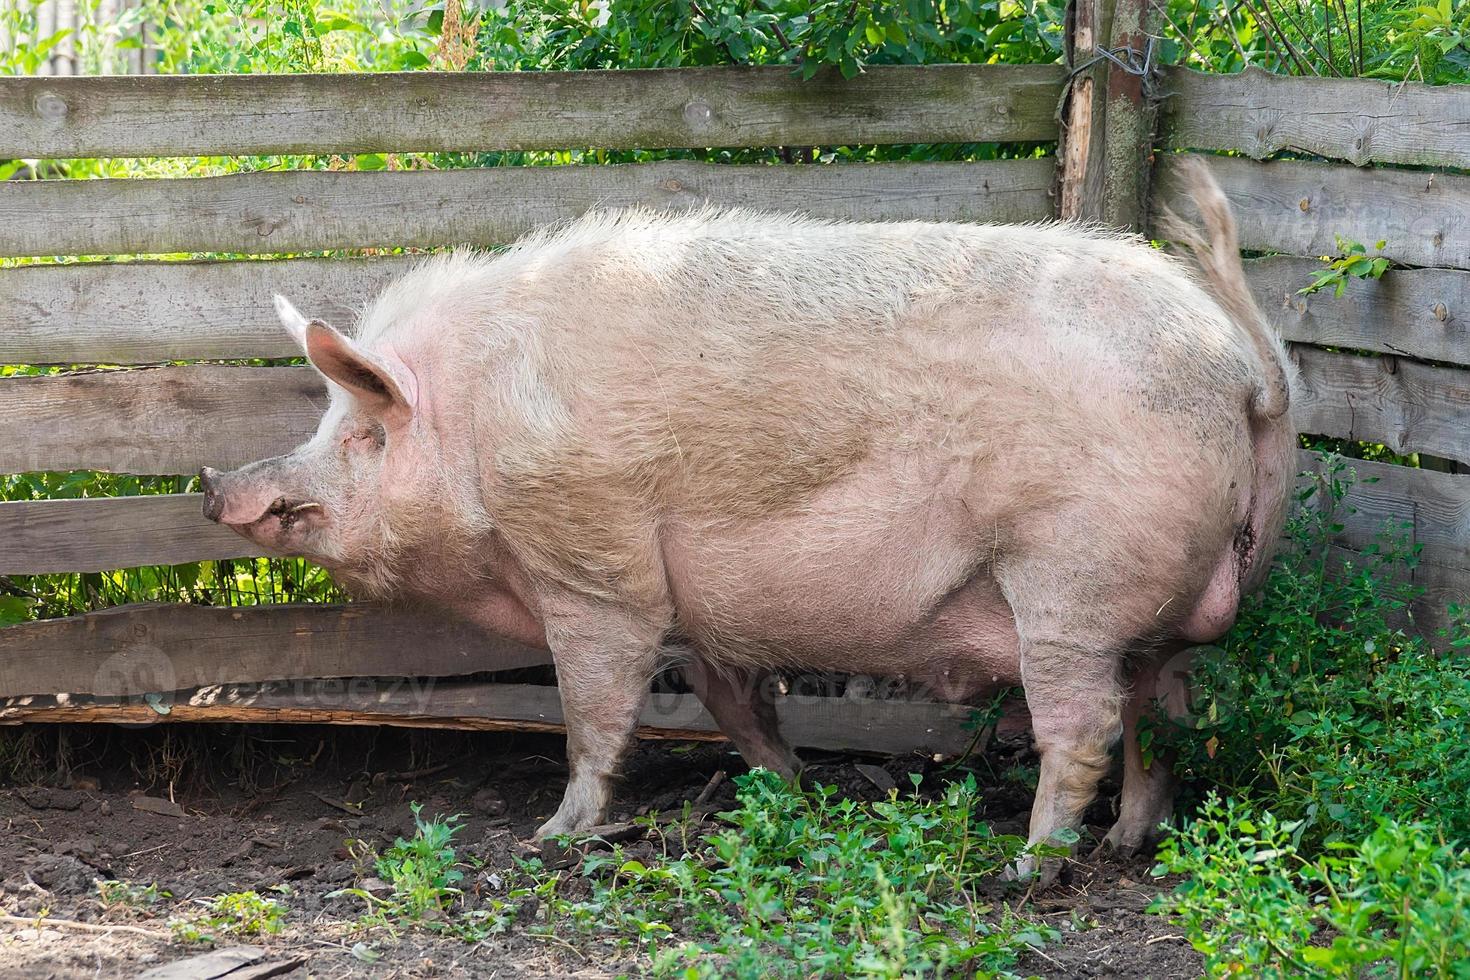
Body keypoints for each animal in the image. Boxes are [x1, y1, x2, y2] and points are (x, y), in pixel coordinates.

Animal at [198, 160, 1299, 881]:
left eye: (361, 434)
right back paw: (1128, 841)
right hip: (1155, 601)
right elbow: (728, 698)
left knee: (1086, 723)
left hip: (1069, 577)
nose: (215, 485)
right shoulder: (704, 604)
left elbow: (595, 707)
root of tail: (1244, 367)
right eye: (327, 421)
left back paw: (1028, 869)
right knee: (1165, 711)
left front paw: (557, 835)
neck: (478, 425)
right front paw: (795, 789)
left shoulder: (595, 562)